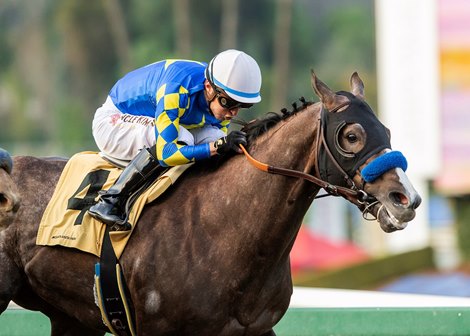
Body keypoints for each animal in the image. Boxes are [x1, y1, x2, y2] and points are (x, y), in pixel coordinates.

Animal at [0, 72, 418, 334]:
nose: (407, 199)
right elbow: (167, 144)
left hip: (71, 318)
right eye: (351, 135)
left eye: (386, 130)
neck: (221, 228)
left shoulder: (256, 329)